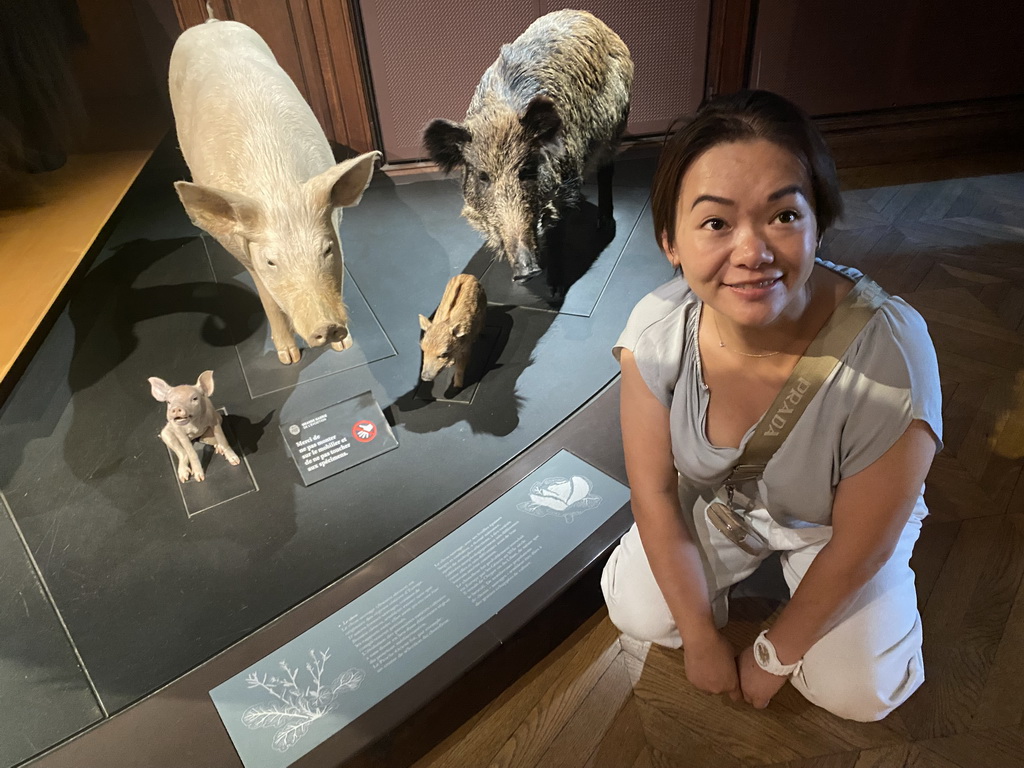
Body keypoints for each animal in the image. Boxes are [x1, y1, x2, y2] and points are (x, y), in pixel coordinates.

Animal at [167, 15, 380, 364]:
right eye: (271, 262)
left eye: (326, 249)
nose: (328, 327)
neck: (276, 187)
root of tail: (209, 21)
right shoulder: (243, 252)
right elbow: (266, 296)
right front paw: (289, 359)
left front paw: (344, 347)